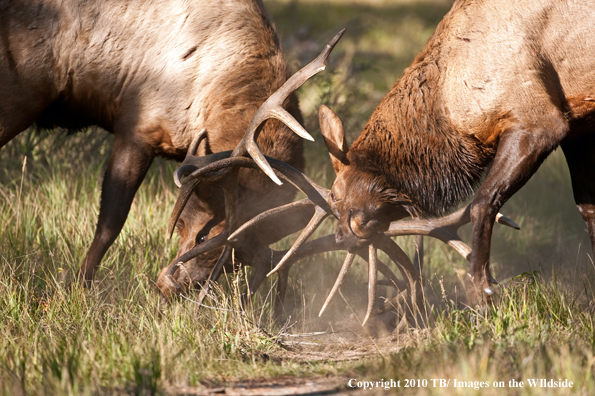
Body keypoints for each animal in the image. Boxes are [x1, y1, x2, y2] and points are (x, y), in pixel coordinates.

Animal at [0, 0, 304, 284]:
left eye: (236, 262)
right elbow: (110, 223)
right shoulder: (137, 129)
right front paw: (79, 285)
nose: (174, 288)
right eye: (203, 237)